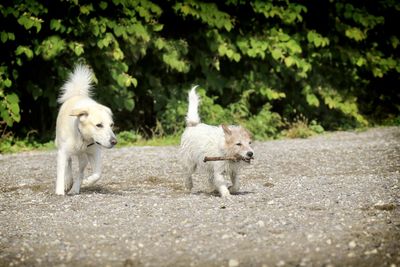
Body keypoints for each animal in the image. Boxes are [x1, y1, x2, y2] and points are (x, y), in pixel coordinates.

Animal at [55, 64, 117, 196]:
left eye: (111, 125)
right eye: (99, 125)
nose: (114, 142)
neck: (82, 137)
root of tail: (77, 94)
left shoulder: (95, 152)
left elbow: (98, 174)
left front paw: (87, 182)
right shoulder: (62, 152)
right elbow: (62, 172)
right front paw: (60, 191)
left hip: (83, 158)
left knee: (81, 171)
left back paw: (75, 188)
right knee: (69, 164)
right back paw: (69, 183)